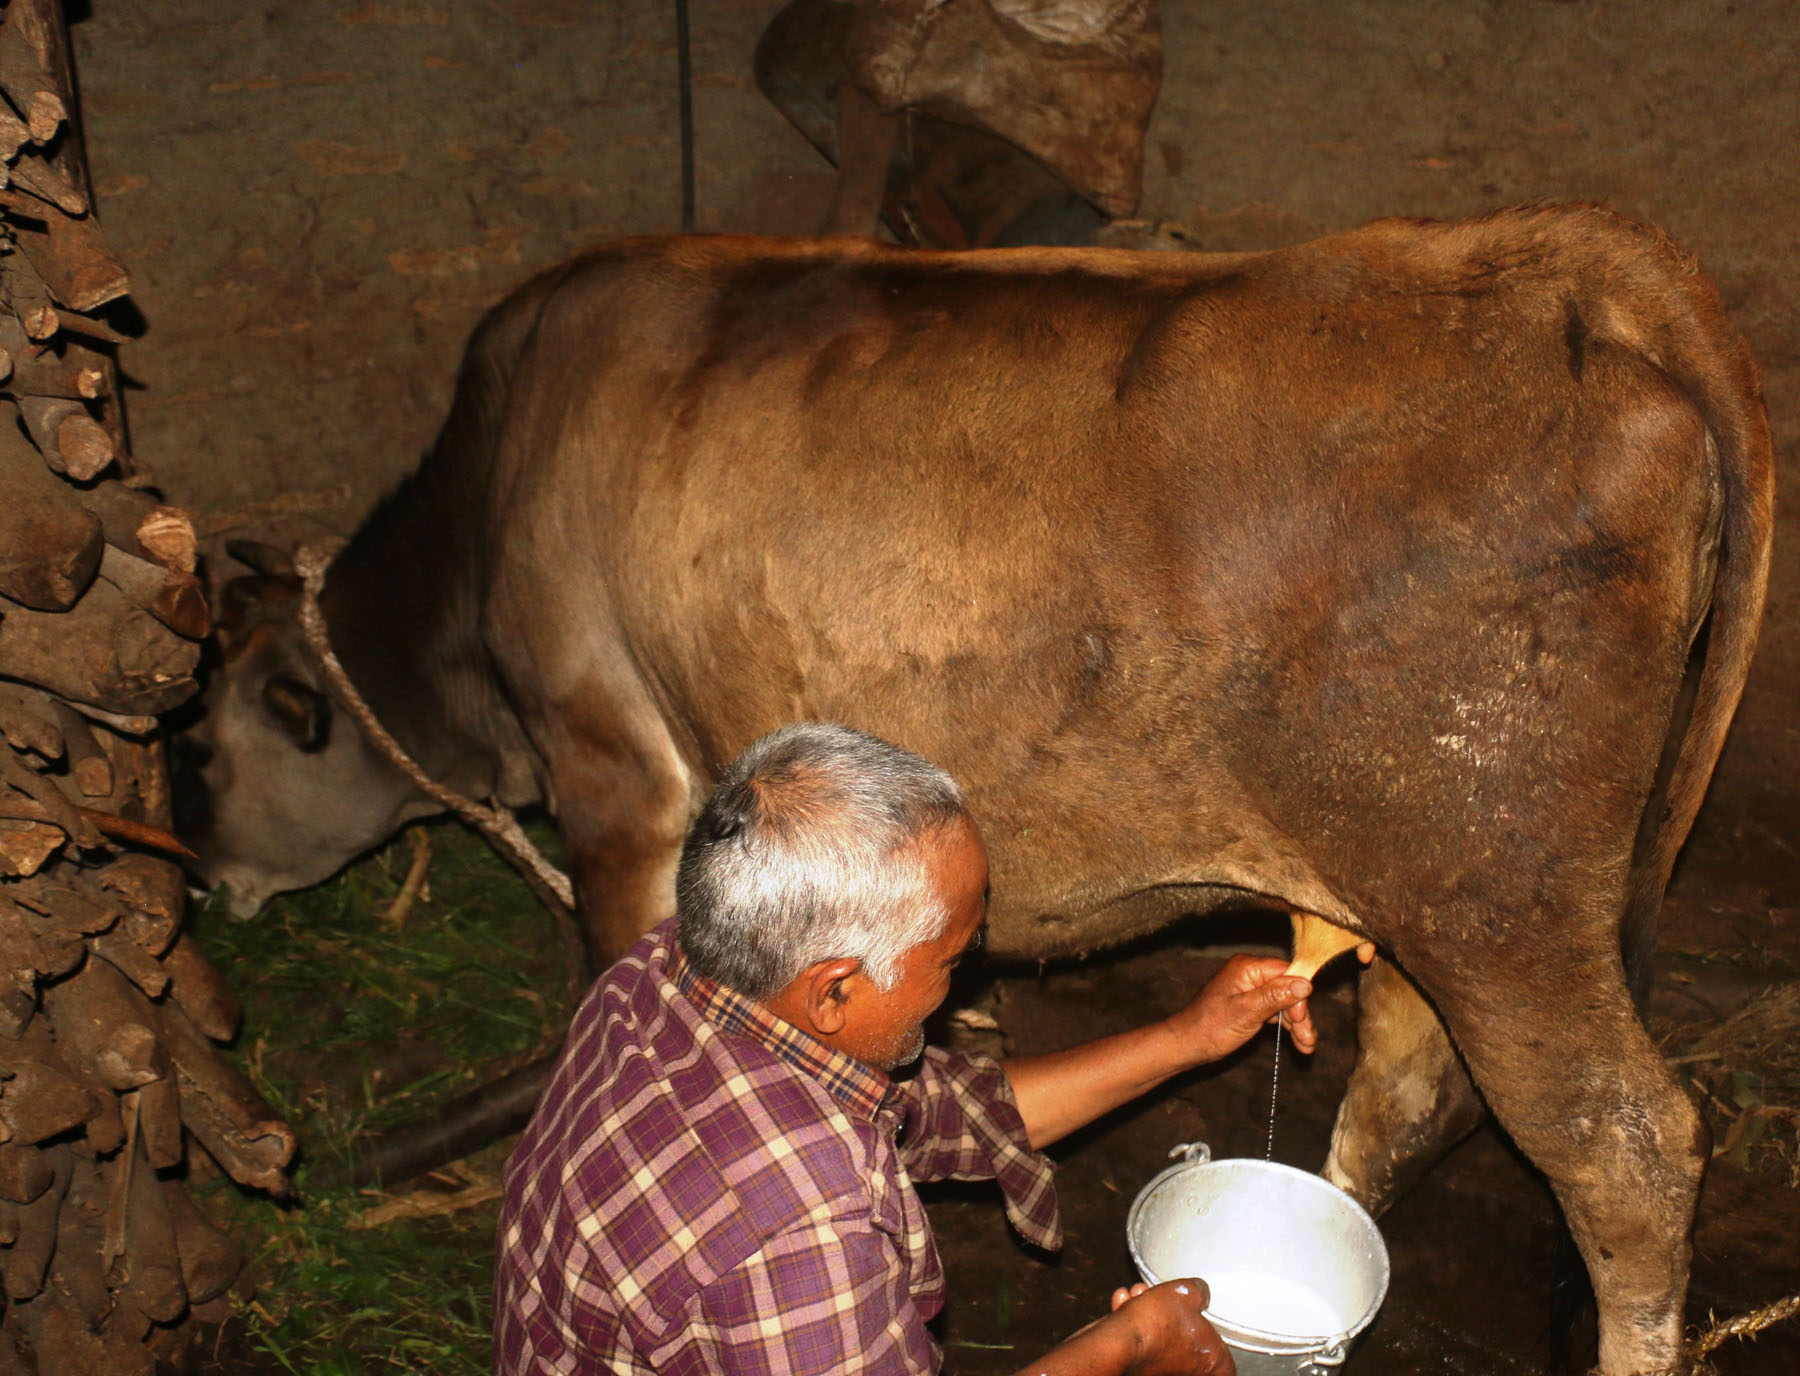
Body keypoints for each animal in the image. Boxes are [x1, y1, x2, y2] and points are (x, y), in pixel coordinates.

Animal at [179, 204, 1771, 1376]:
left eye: (203, 748)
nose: (203, 882)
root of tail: (1571, 257)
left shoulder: (612, 766)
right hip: (1430, 893)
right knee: (1399, 1082)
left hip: (1502, 901)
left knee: (1627, 1150)